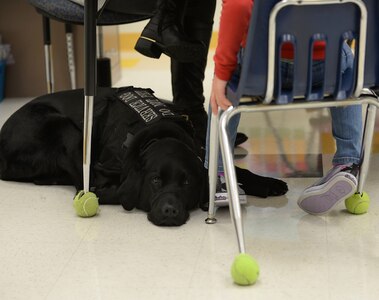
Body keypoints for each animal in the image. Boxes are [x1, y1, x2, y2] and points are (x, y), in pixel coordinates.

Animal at [0, 88, 288, 226]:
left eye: (186, 182)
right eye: (155, 181)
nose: (170, 210)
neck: (158, 132)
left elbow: (235, 169)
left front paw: (267, 182)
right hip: (66, 129)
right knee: (81, 181)